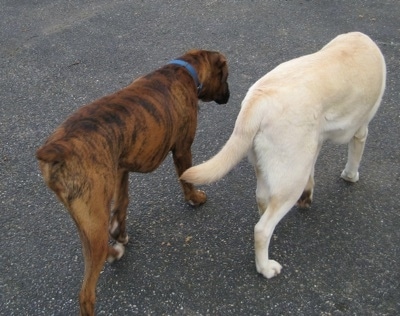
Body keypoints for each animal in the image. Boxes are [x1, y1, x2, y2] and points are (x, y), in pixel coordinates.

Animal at [36, 50, 230, 316]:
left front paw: (119, 231)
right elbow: (186, 177)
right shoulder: (182, 149)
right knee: (86, 293)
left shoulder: (121, 169)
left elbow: (123, 202)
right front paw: (194, 198)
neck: (185, 70)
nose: (229, 95)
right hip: (94, 214)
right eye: (226, 76)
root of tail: (57, 147)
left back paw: (115, 249)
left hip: (86, 218)